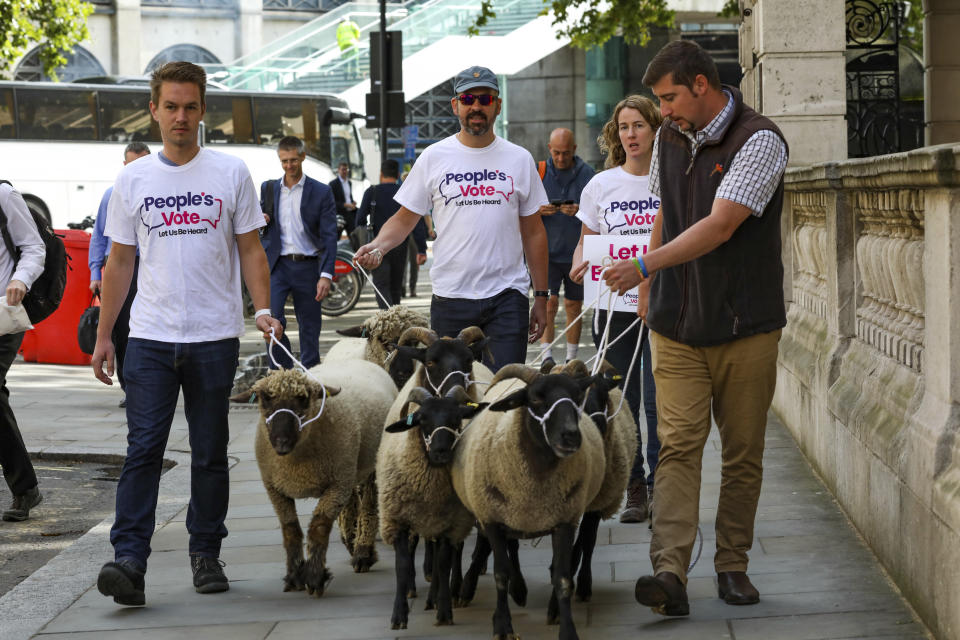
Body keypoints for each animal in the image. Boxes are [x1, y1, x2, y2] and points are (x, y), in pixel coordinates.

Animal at [251, 360, 398, 596]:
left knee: (368, 506)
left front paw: (314, 577)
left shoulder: (336, 486)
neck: (297, 462)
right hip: (348, 469)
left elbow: (319, 527)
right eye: (264, 398)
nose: (281, 443)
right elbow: (290, 529)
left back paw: (363, 553)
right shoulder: (275, 488)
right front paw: (294, 577)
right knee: (352, 504)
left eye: (303, 398)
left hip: (368, 466)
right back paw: (351, 541)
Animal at [378, 384, 488, 632]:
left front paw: (444, 610)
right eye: (422, 419)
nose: (441, 451)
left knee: (444, 557)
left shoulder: (451, 524)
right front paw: (398, 615)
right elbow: (401, 564)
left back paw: (435, 597)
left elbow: (444, 563)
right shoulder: (398, 520)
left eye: (456, 418)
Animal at [448, 364, 600, 640]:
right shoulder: (493, 520)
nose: (571, 436)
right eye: (536, 398)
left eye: (576, 396)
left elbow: (563, 579)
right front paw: (502, 627)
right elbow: (501, 574)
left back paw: (519, 590)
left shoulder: (564, 520)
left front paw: (567, 629)